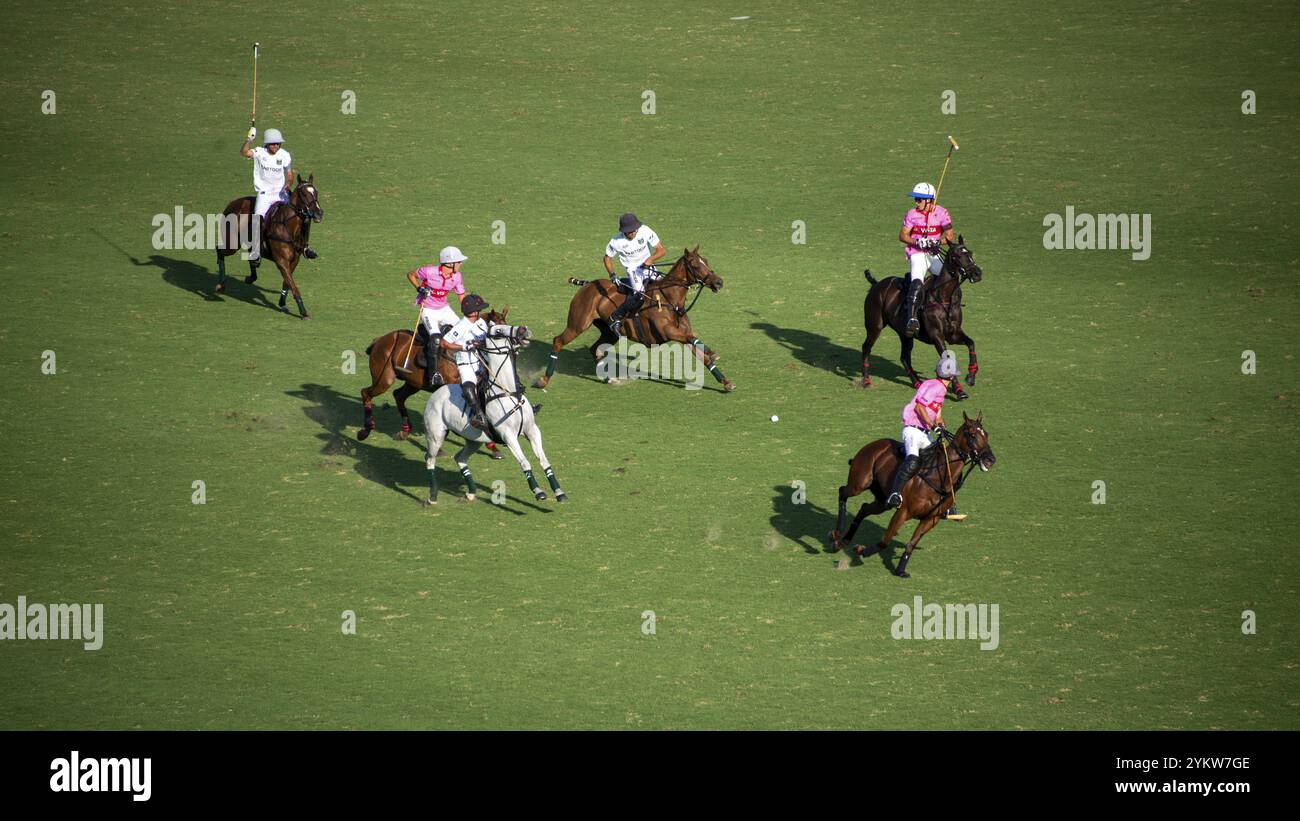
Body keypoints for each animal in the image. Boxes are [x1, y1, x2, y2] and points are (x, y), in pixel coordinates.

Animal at [213, 175, 322, 319]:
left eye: (316, 192)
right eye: (304, 194)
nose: (319, 213)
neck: (288, 226)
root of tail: (232, 203)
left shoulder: (294, 260)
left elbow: (287, 282)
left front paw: (282, 303)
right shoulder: (281, 261)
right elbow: (293, 286)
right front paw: (303, 312)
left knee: (251, 259)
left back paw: (250, 277)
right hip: (233, 243)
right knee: (219, 250)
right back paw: (220, 285)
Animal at [423, 316, 566, 504]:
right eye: (498, 332)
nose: (523, 329)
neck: (508, 392)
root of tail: (435, 394)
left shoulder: (532, 430)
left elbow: (544, 460)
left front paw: (559, 492)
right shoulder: (508, 435)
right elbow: (525, 462)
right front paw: (538, 491)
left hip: (473, 440)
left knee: (460, 458)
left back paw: (471, 492)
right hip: (436, 436)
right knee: (430, 460)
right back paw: (432, 496)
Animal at [527, 246, 733, 392]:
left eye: (706, 261)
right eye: (696, 265)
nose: (719, 282)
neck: (669, 299)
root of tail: (588, 284)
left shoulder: (682, 332)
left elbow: (700, 352)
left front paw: (726, 382)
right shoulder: (669, 332)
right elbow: (694, 340)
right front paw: (713, 353)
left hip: (610, 332)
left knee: (595, 349)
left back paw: (609, 378)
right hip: (578, 324)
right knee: (558, 341)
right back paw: (543, 380)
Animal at [826, 410, 998, 576]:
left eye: (987, 434)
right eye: (973, 435)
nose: (990, 460)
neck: (938, 476)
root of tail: (873, 444)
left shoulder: (931, 519)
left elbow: (911, 544)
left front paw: (900, 570)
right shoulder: (903, 512)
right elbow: (885, 540)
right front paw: (861, 550)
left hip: (882, 501)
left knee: (863, 508)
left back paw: (842, 541)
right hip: (860, 483)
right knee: (842, 491)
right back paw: (837, 533)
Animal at [863, 235, 982, 400]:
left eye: (970, 253)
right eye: (957, 256)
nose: (977, 274)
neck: (943, 298)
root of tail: (876, 284)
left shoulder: (953, 334)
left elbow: (971, 343)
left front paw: (970, 376)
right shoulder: (936, 335)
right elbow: (947, 358)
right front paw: (959, 391)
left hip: (905, 334)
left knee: (904, 358)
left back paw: (918, 384)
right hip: (875, 326)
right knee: (866, 348)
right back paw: (866, 381)